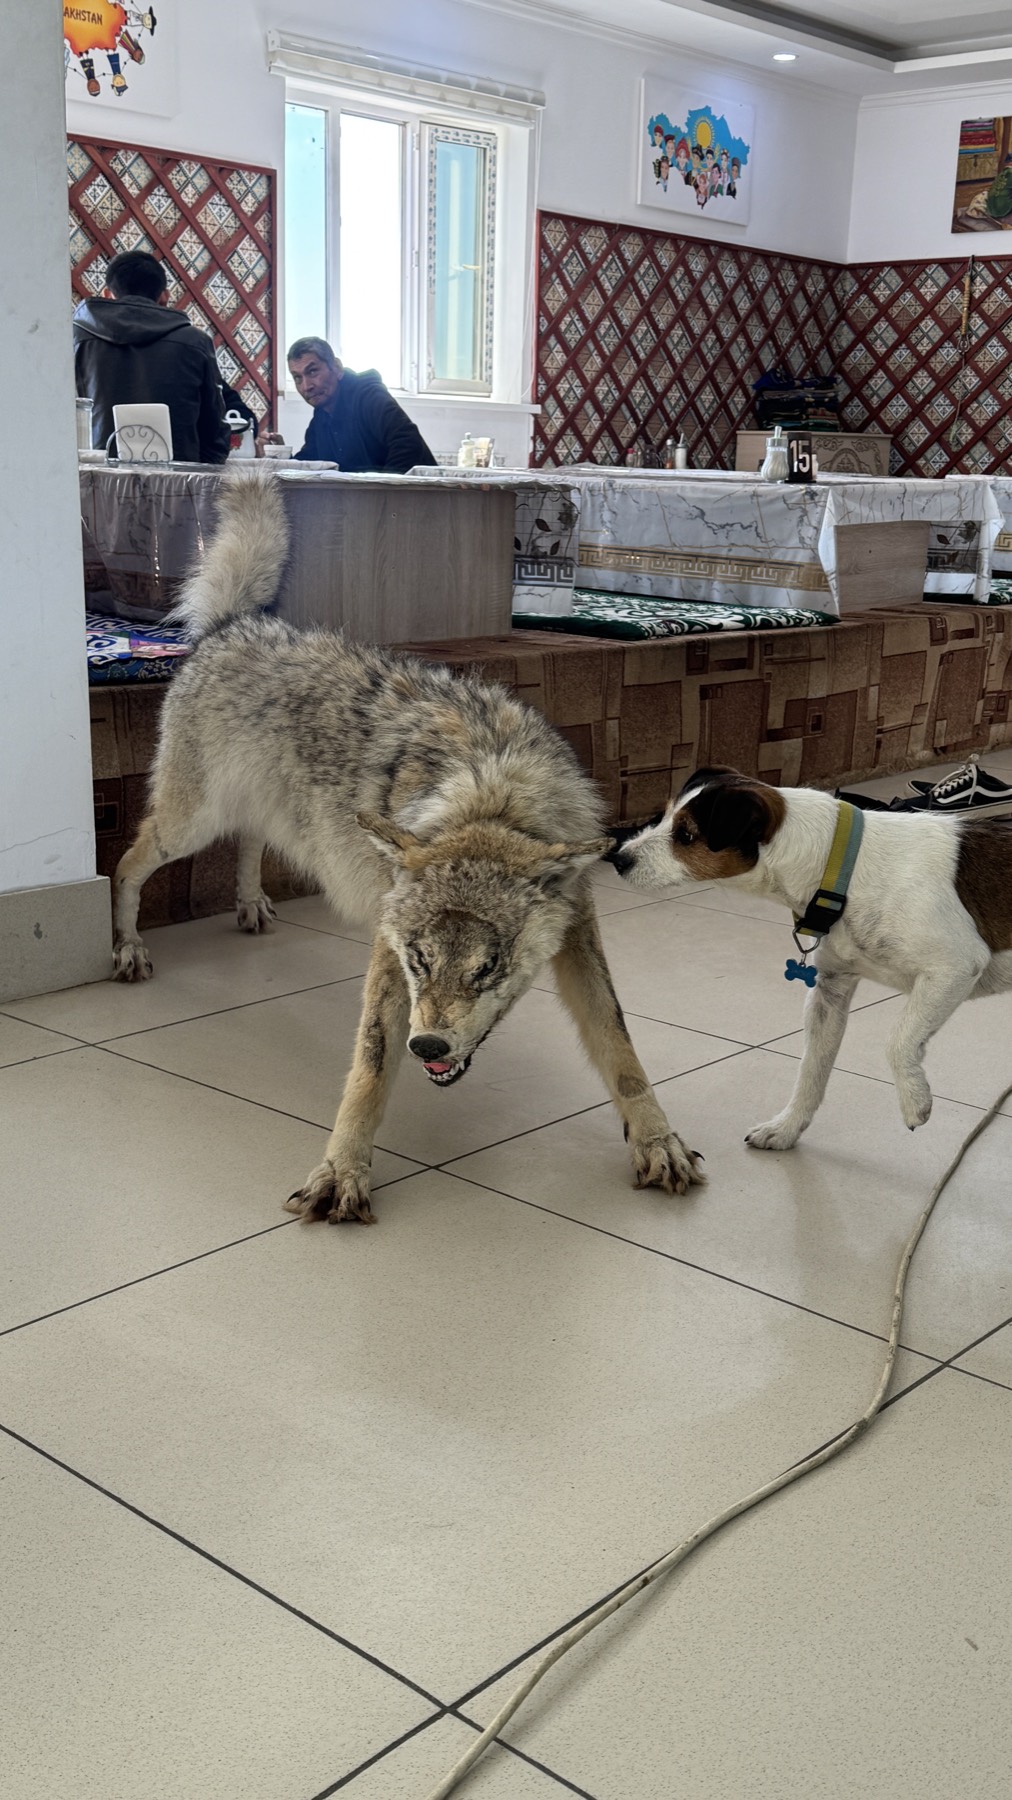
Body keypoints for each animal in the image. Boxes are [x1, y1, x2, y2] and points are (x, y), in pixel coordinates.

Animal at [112, 472, 703, 1223]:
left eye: (487, 968)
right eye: (421, 961)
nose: (428, 1045)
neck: (491, 794)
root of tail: (234, 625)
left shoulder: (578, 933)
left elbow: (619, 1045)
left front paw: (656, 1142)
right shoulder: (388, 951)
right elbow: (368, 1068)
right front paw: (342, 1171)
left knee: (246, 845)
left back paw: (249, 907)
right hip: (189, 824)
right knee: (124, 864)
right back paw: (128, 947)